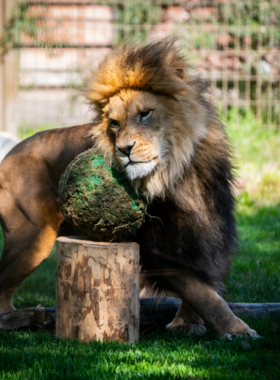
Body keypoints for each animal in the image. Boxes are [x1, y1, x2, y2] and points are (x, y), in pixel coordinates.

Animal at [0, 39, 258, 338]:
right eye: (114, 122)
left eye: (145, 114)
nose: (124, 149)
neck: (178, 174)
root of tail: (8, 155)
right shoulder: (159, 250)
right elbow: (203, 294)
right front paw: (237, 330)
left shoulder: (209, 226)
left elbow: (206, 282)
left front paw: (187, 323)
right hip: (31, 238)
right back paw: (29, 318)